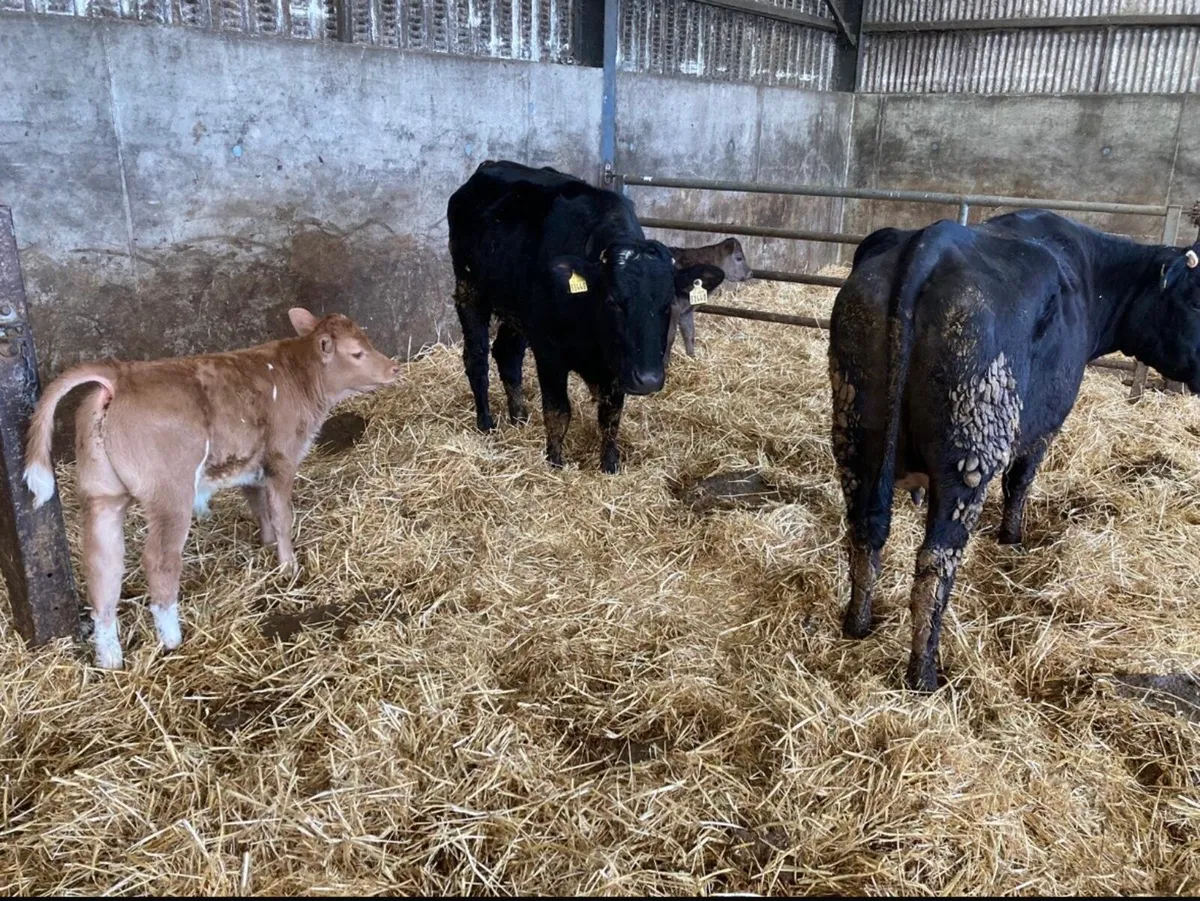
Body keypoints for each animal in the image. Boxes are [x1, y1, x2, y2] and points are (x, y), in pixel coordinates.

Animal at [23, 308, 400, 670]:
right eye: (357, 353)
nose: (394, 368)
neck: (298, 375)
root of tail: (120, 374)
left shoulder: (251, 465)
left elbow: (259, 506)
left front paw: (266, 546)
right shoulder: (282, 459)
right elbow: (282, 515)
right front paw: (288, 567)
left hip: (102, 494)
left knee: (103, 567)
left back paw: (110, 657)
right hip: (171, 492)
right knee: (159, 561)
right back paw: (172, 638)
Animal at [447, 159, 722, 473]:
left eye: (668, 304)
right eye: (613, 301)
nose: (649, 380)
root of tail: (489, 166)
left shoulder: (616, 365)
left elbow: (610, 416)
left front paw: (610, 466)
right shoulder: (549, 352)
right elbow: (557, 413)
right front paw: (554, 464)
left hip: (516, 311)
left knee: (507, 354)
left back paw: (519, 418)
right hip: (469, 289)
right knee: (477, 358)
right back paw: (486, 423)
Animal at [829, 210, 1200, 692]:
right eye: (1194, 301)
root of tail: (930, 242)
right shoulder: (1043, 426)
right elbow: (1020, 482)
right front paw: (1012, 537)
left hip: (854, 436)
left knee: (865, 532)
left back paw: (857, 624)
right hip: (969, 455)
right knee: (935, 561)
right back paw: (924, 672)